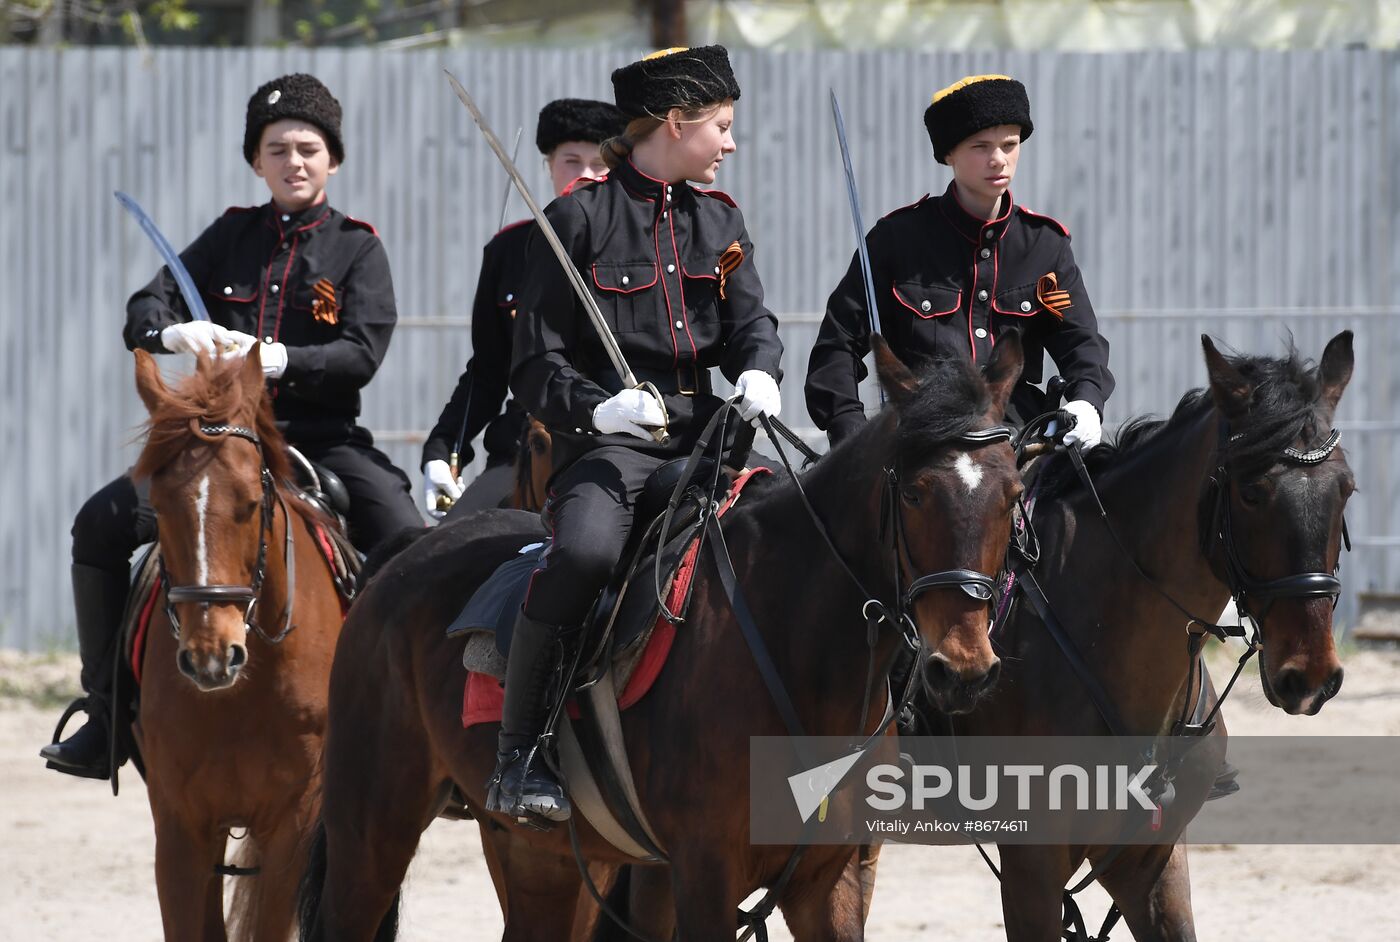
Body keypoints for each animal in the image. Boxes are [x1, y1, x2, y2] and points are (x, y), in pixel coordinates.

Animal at [292, 334, 1030, 935]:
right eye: (914, 492)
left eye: (1013, 494)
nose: (963, 670)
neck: (793, 641)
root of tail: (400, 559)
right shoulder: (704, 873)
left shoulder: (831, 881)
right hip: (371, 833)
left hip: (536, 857)